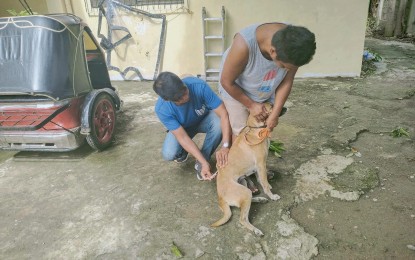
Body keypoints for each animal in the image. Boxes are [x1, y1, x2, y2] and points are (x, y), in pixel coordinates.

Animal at [211, 102, 282, 237]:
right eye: (272, 106)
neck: (255, 130)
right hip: (244, 192)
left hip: (244, 184)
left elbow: (261, 180)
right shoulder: (261, 164)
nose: (284, 107)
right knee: (242, 219)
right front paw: (272, 195)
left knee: (246, 202)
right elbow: (264, 183)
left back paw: (260, 199)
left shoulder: (259, 167)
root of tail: (220, 198)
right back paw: (256, 230)